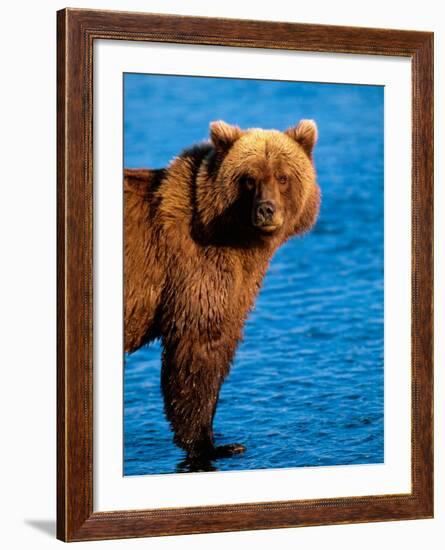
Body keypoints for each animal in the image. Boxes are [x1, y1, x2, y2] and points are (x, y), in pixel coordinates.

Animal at [124, 122, 320, 466]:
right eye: (249, 179)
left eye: (282, 176)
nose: (266, 210)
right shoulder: (195, 270)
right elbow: (199, 350)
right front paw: (213, 445)